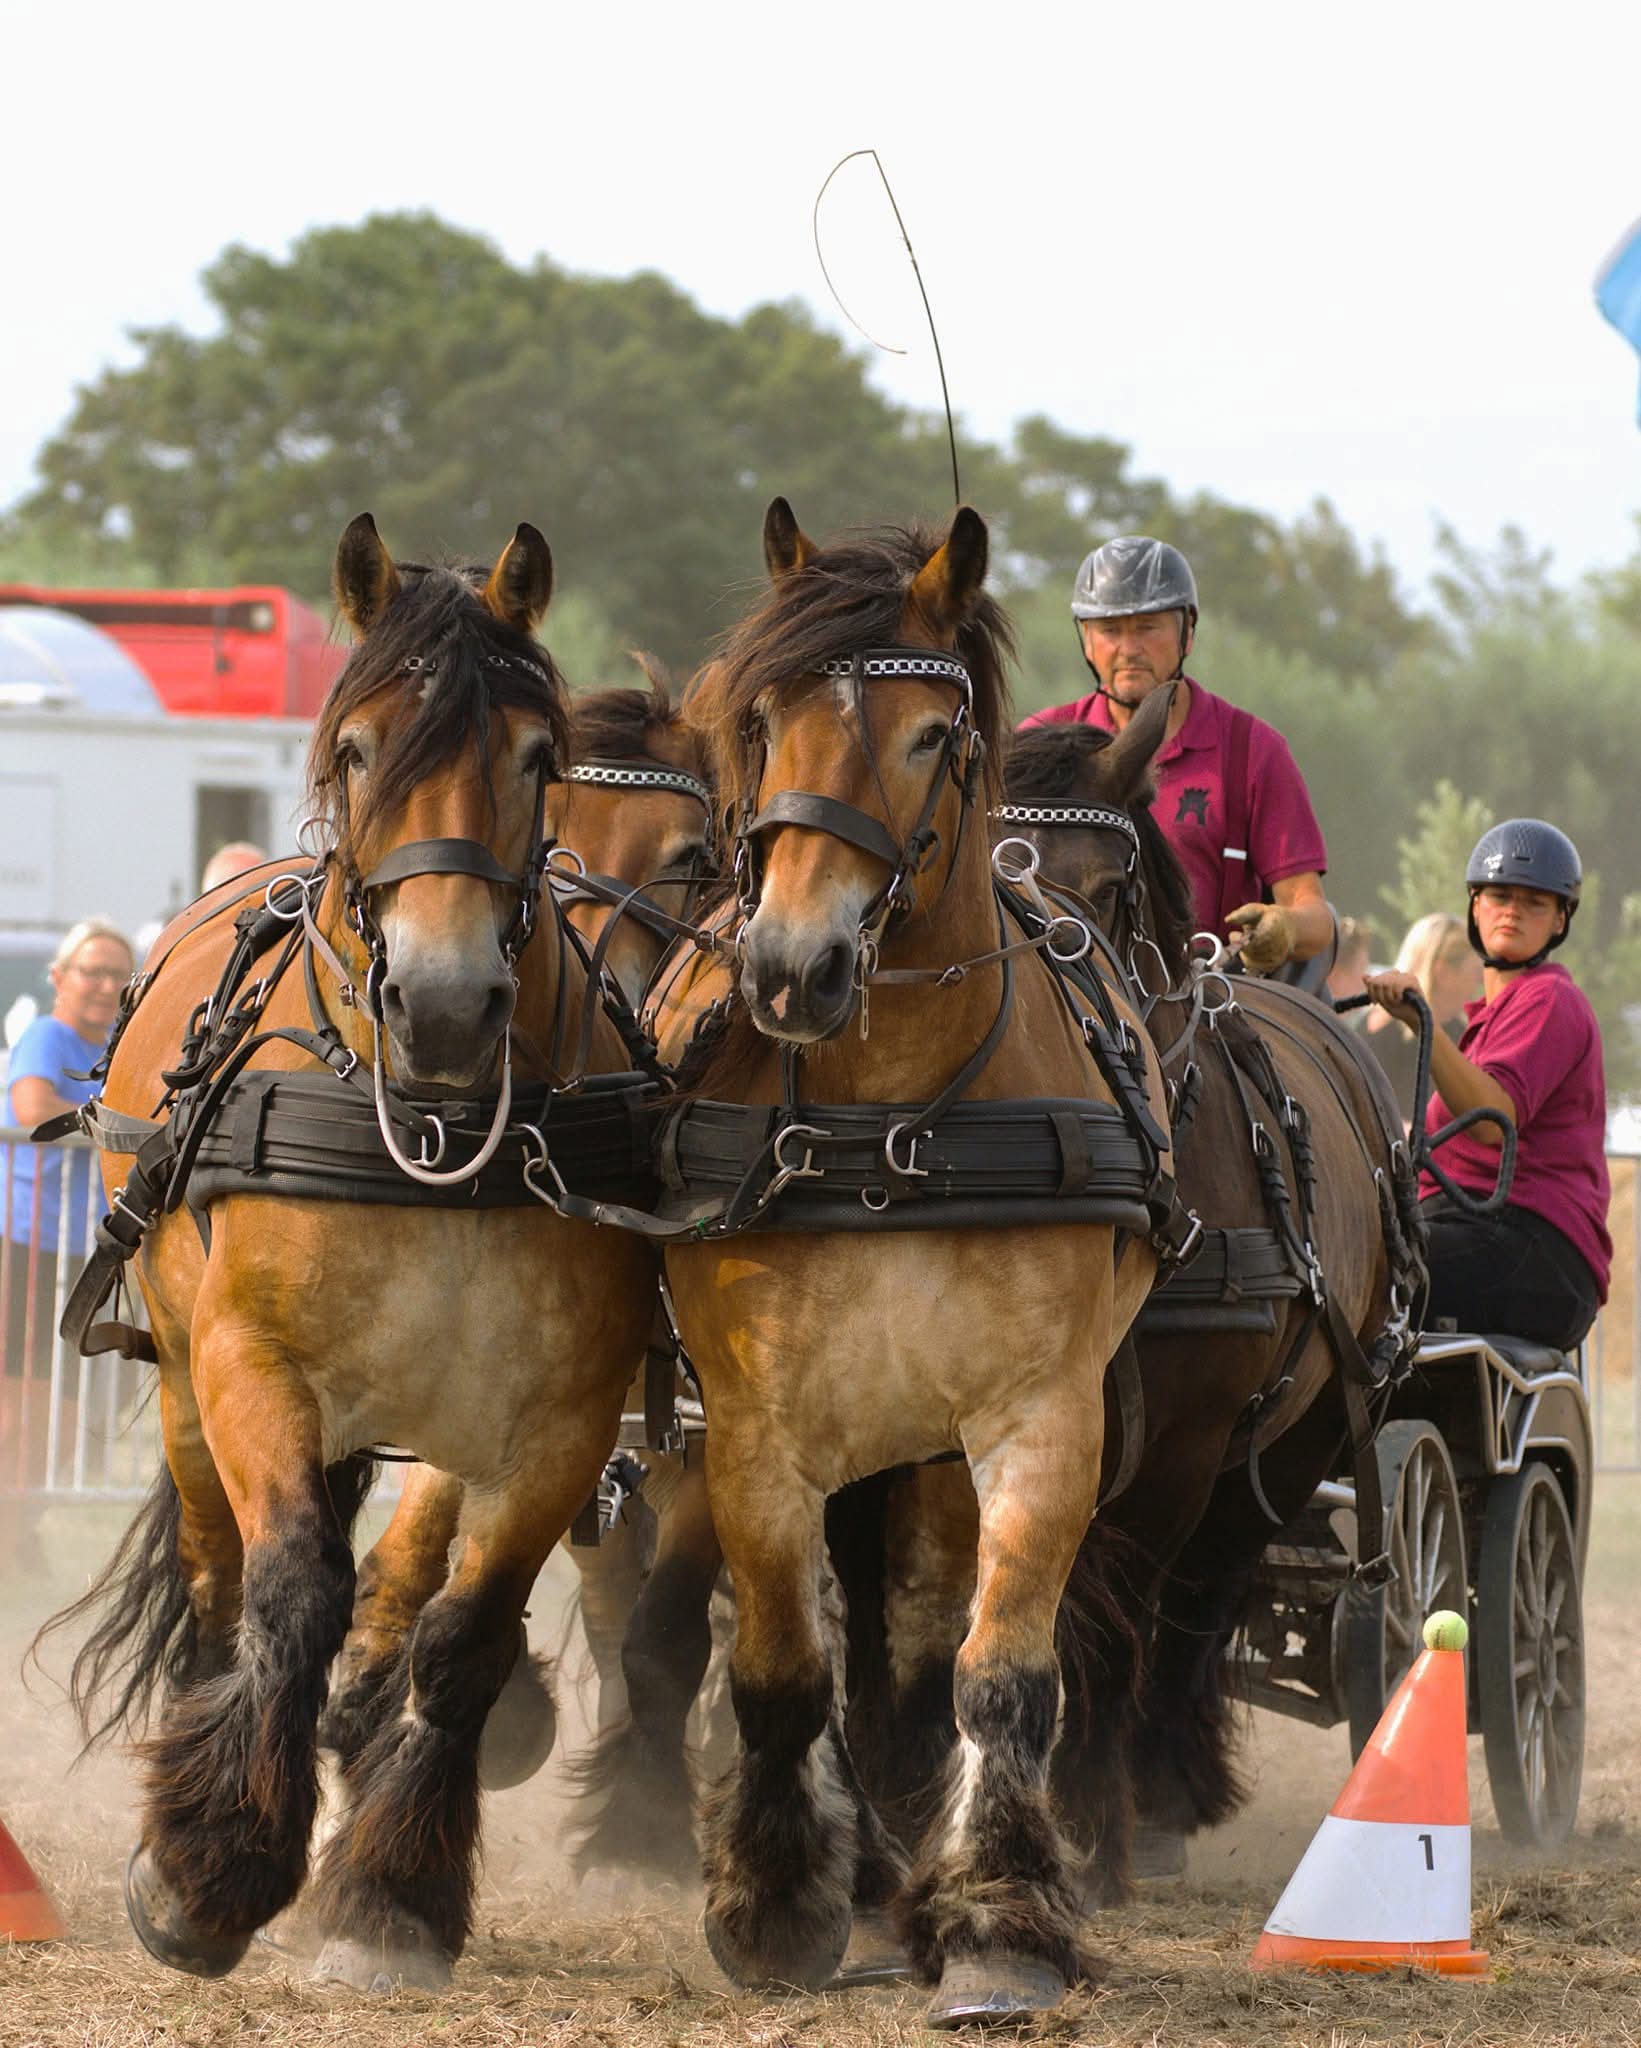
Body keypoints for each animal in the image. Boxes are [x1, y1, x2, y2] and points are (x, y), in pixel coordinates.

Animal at [36, 518, 657, 1992]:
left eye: (534, 755)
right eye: (361, 746)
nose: (442, 1002)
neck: (427, 1121)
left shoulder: (558, 1412)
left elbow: (465, 1629)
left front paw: (390, 1894)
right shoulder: (250, 1360)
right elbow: (293, 1588)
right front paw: (211, 1869)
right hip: (183, 1381)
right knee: (224, 1578)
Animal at [647, 501, 1180, 2025]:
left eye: (932, 735)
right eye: (762, 720)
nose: (792, 969)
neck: (891, 1120)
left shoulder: (1037, 1418)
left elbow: (995, 1672)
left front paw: (998, 1915)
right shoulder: (755, 1432)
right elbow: (782, 1664)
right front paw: (775, 1898)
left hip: (934, 1444)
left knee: (929, 1630)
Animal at [1000, 702, 1423, 1886]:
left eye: (1106, 890)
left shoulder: (1182, 1444)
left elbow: (1120, 1620)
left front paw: (1096, 1820)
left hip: (1306, 1425)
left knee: (1203, 1596)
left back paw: (1162, 1790)